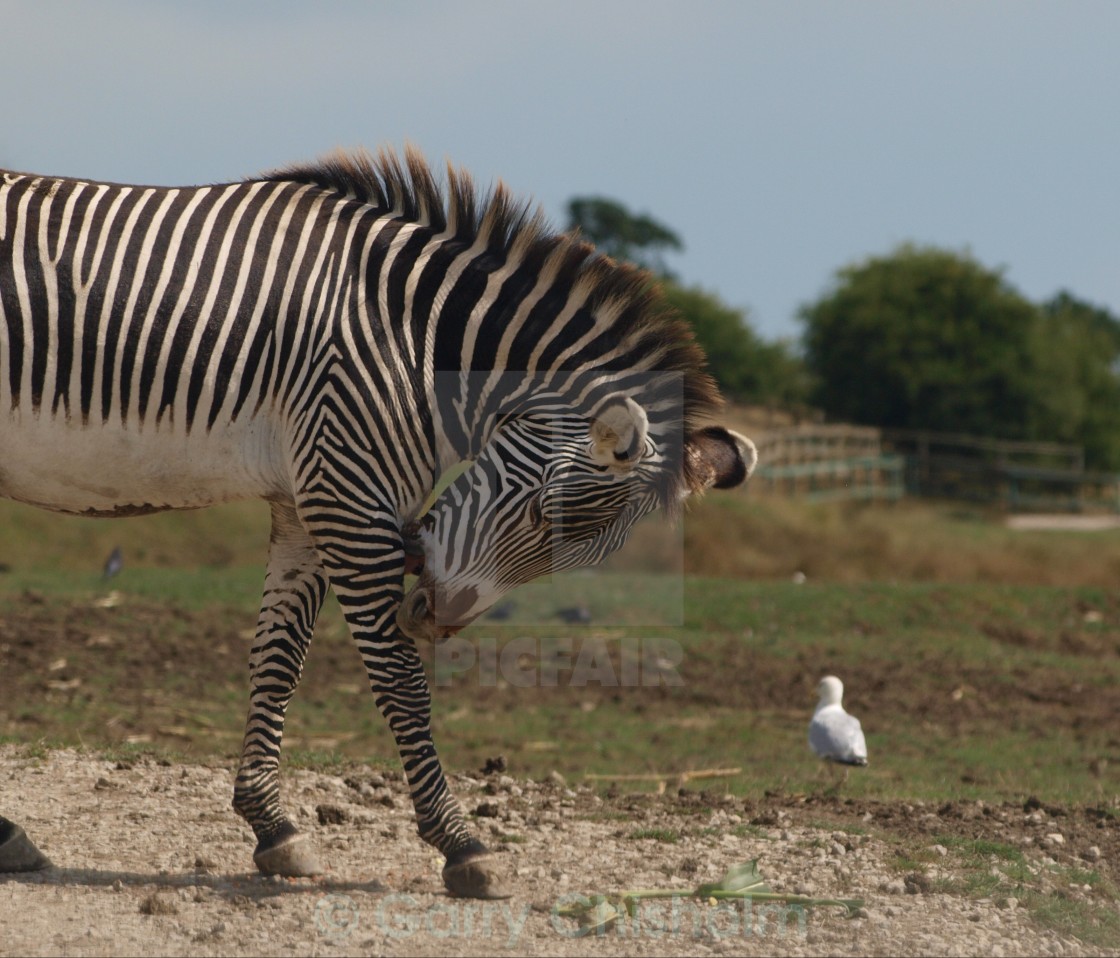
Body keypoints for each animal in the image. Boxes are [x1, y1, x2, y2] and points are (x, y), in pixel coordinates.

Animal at [0, 145, 757, 896]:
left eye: (579, 558)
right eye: (542, 513)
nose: (435, 618)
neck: (412, 343)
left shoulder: (304, 503)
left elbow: (279, 663)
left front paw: (273, 828)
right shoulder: (346, 498)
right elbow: (401, 683)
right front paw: (460, 844)